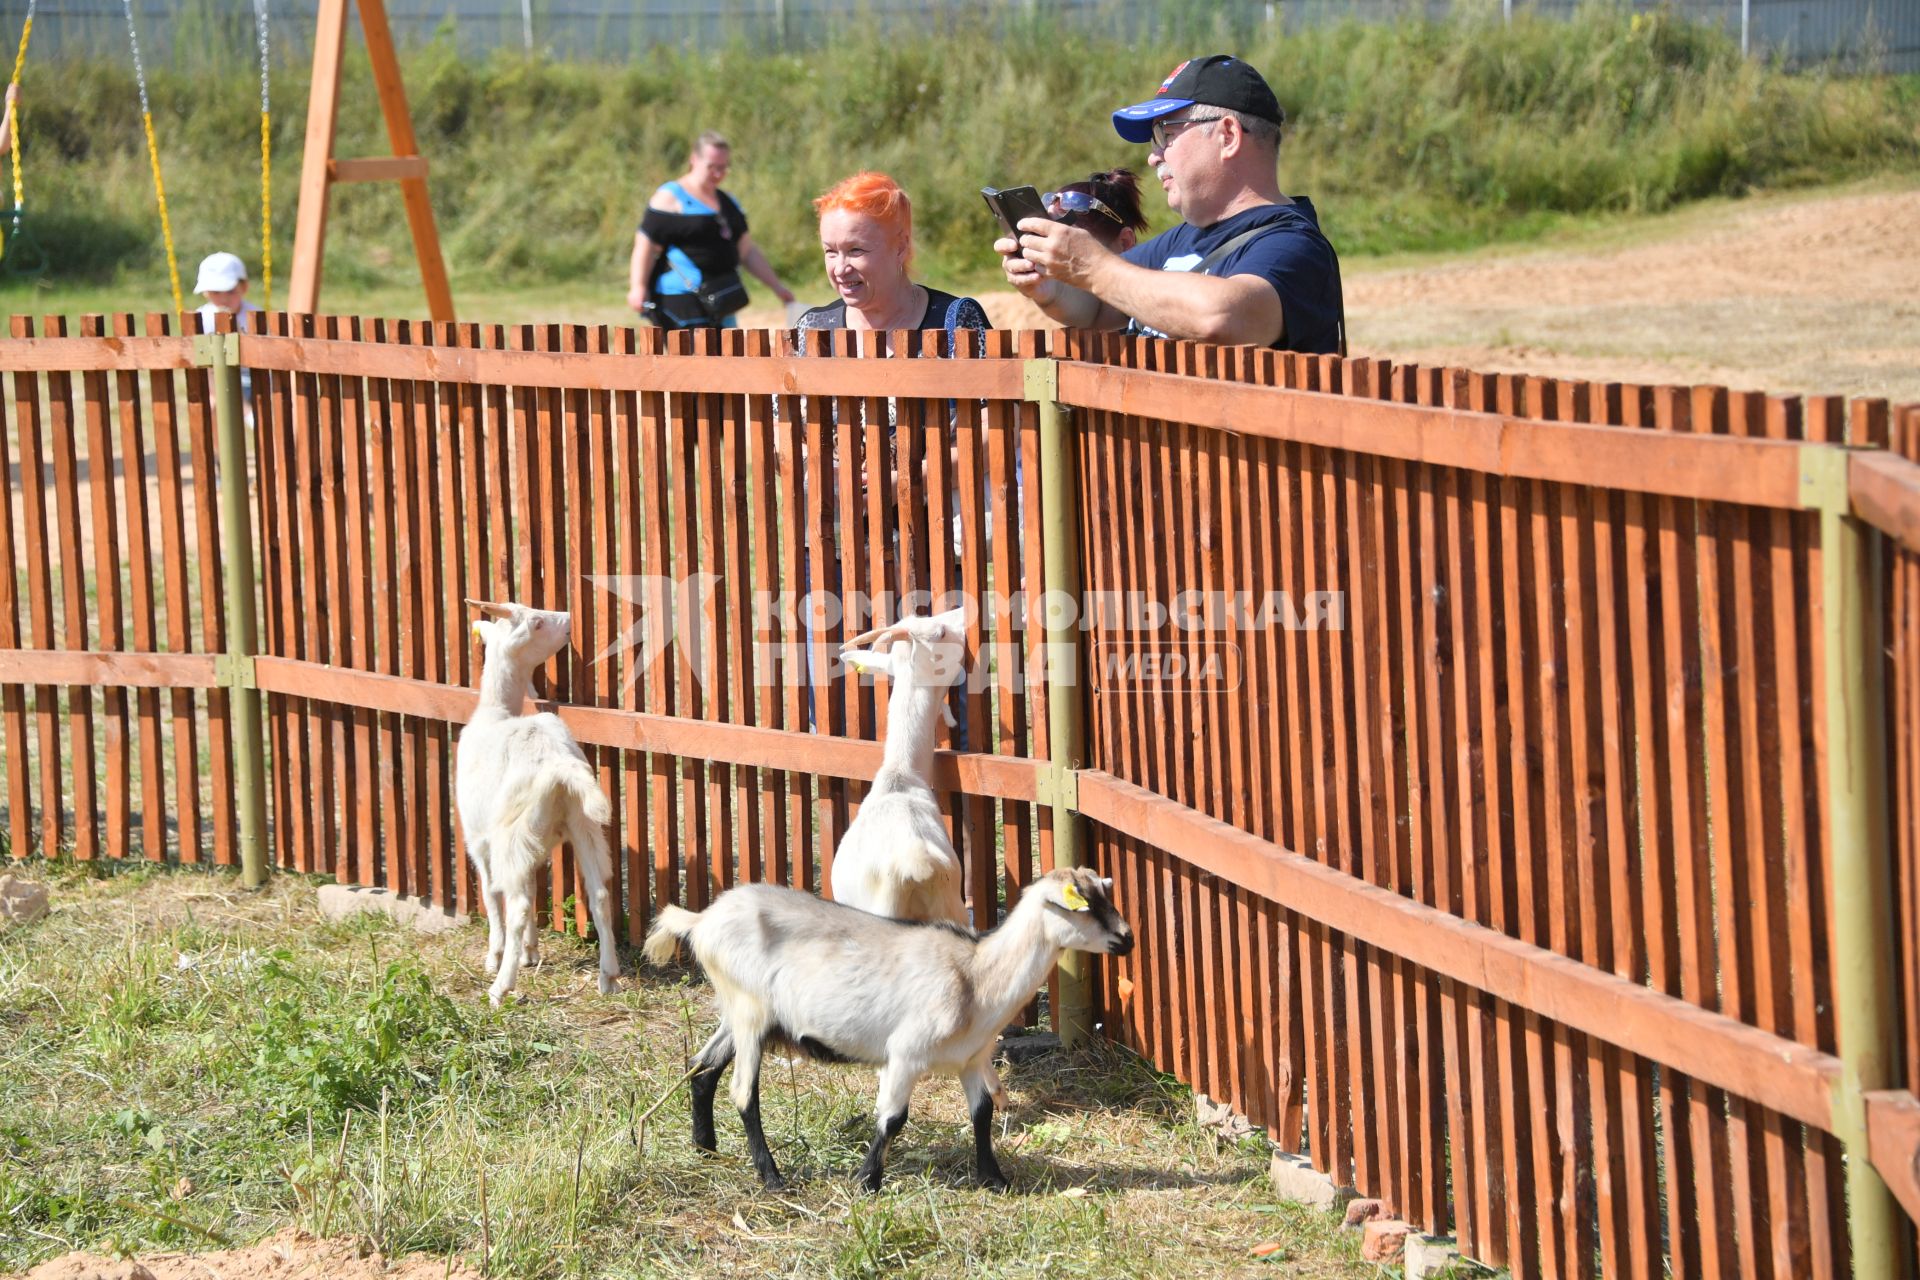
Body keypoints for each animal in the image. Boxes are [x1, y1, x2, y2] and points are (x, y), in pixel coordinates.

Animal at [458, 602, 622, 1013]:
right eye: (537, 623)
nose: (567, 622)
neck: (496, 713)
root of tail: (558, 766)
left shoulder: (478, 838)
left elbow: (491, 895)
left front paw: (496, 955)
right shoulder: (531, 846)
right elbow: (534, 887)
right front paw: (530, 952)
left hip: (510, 833)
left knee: (515, 904)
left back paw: (500, 987)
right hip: (582, 824)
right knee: (599, 895)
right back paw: (609, 976)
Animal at [637, 867, 1128, 1197]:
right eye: (1082, 905)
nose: (1127, 939)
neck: (976, 973)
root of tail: (701, 921)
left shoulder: (973, 1059)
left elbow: (983, 1113)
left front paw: (995, 1178)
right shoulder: (905, 1054)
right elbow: (893, 1118)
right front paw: (867, 1181)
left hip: (738, 1014)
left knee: (702, 1069)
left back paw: (706, 1148)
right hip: (750, 1012)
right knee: (742, 1092)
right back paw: (772, 1178)